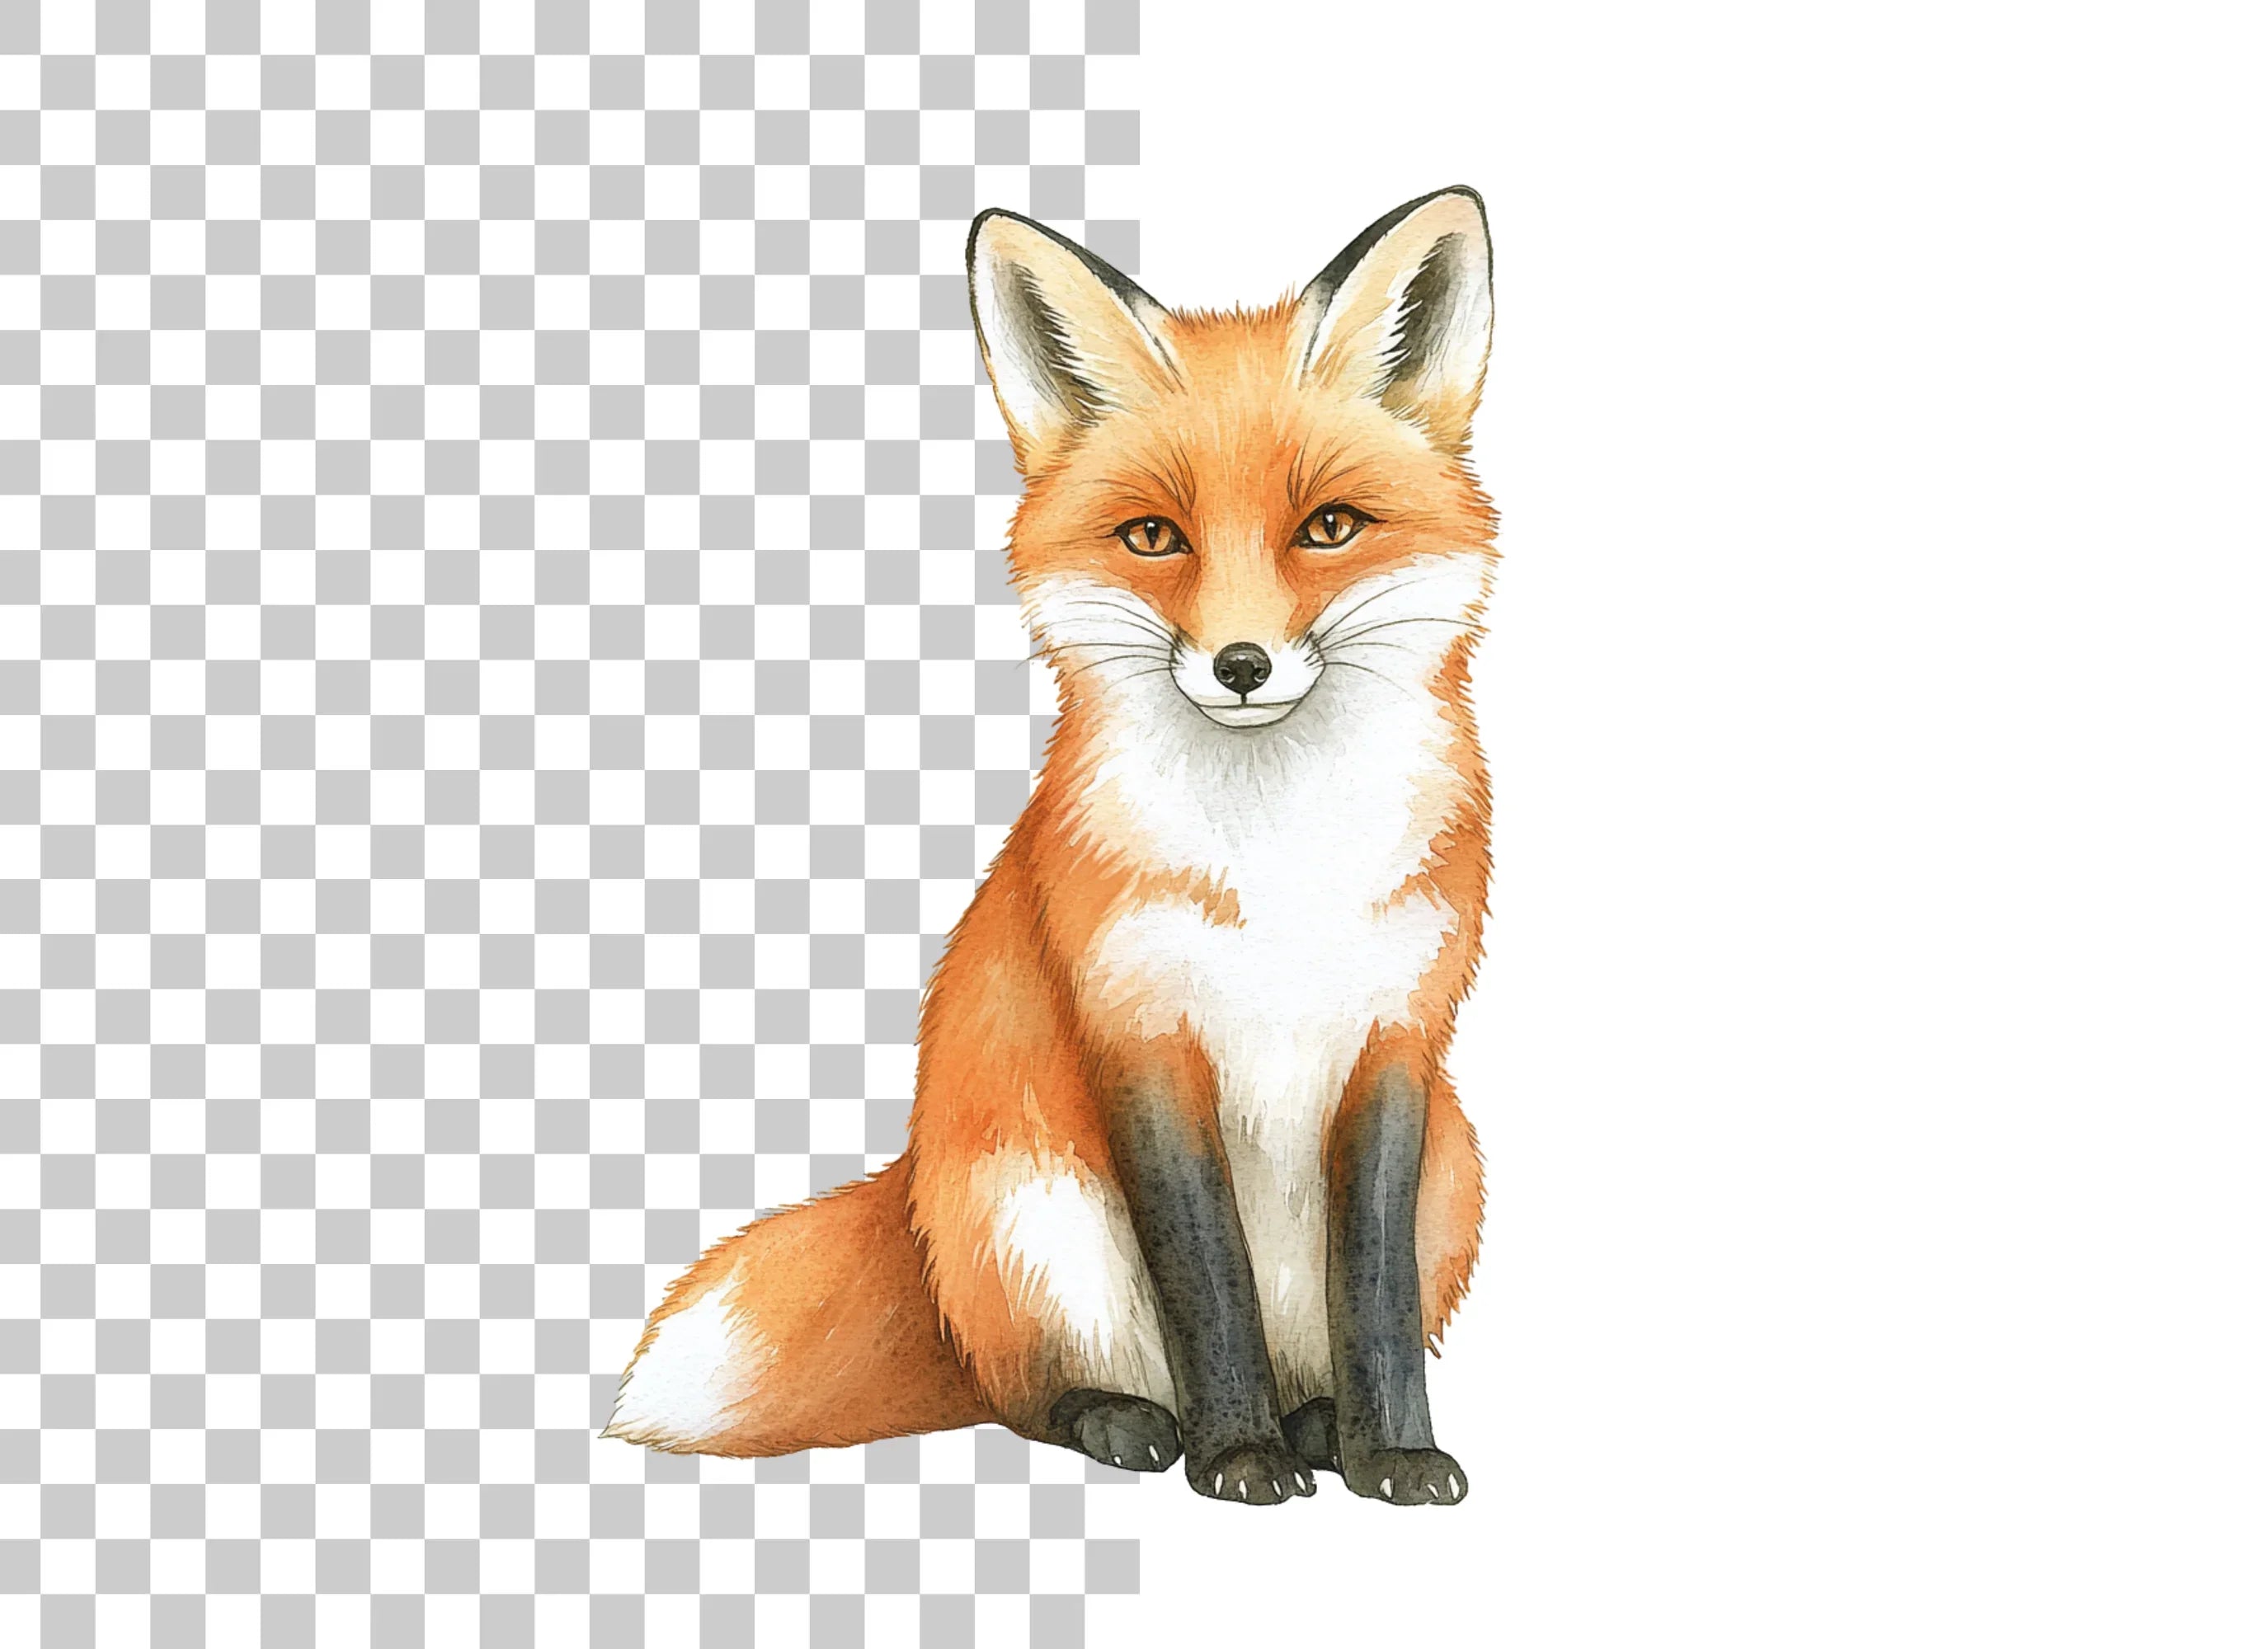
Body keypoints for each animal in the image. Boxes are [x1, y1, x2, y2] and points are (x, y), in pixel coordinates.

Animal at [604, 187, 1499, 1506]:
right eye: (1152, 536)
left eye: (1329, 527)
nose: (1240, 665)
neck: (1280, 863)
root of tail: (914, 1187)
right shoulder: (1137, 1030)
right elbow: (1206, 1277)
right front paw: (1233, 1456)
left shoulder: (1395, 1040)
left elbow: (1373, 1290)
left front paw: (1388, 1450)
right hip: (1034, 1218)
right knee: (1022, 1392)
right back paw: (1141, 1422)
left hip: (1459, 1169)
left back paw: (1316, 1423)